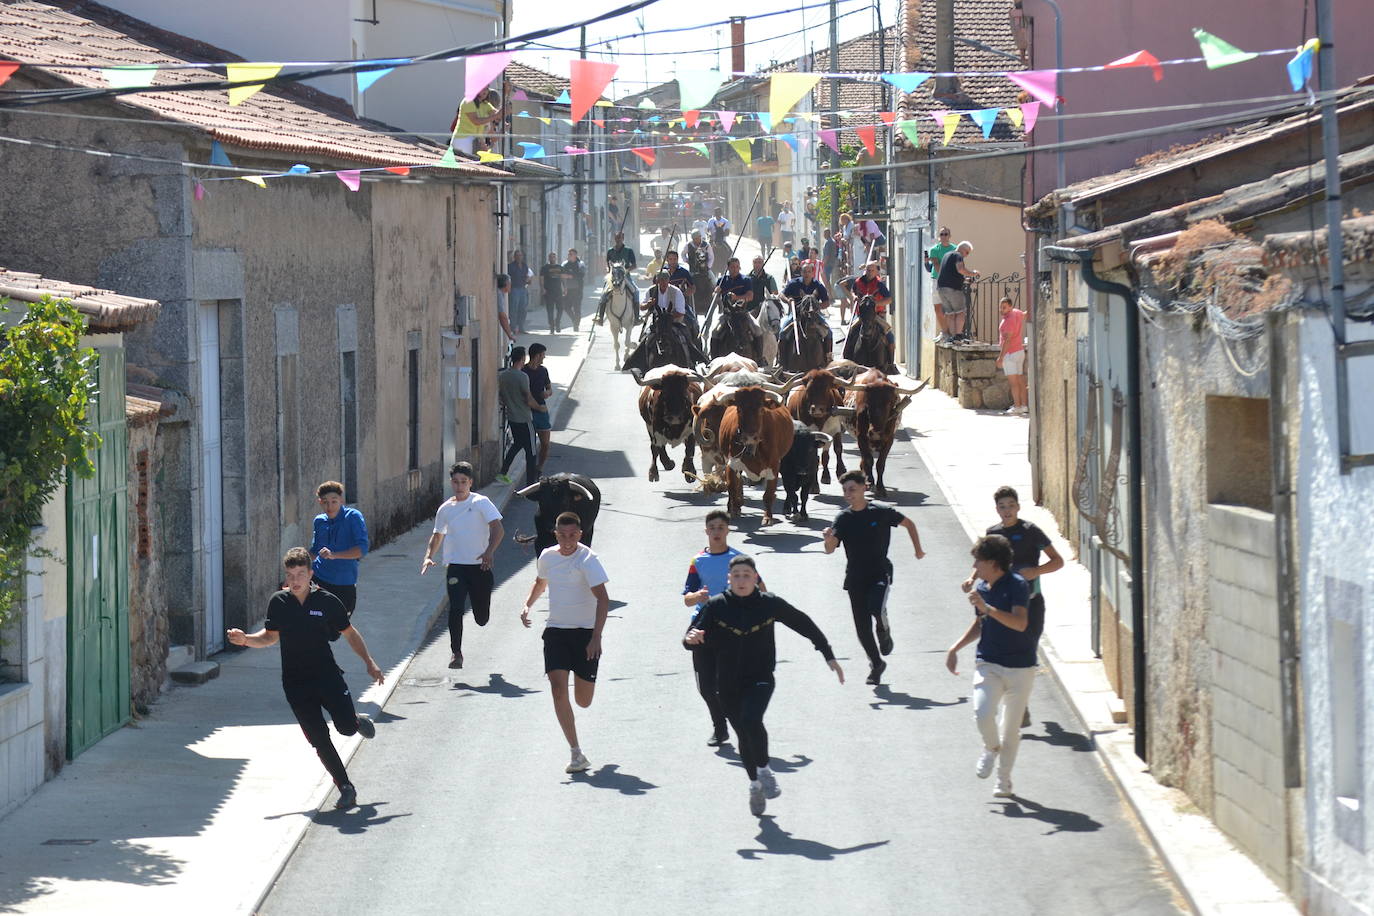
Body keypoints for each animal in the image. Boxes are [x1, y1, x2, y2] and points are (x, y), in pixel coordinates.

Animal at [697, 387, 796, 527]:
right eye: (739, 409)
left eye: (761, 409)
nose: (749, 437)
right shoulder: (731, 463)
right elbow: (733, 487)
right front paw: (733, 509)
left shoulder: (774, 466)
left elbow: (768, 494)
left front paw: (768, 517)